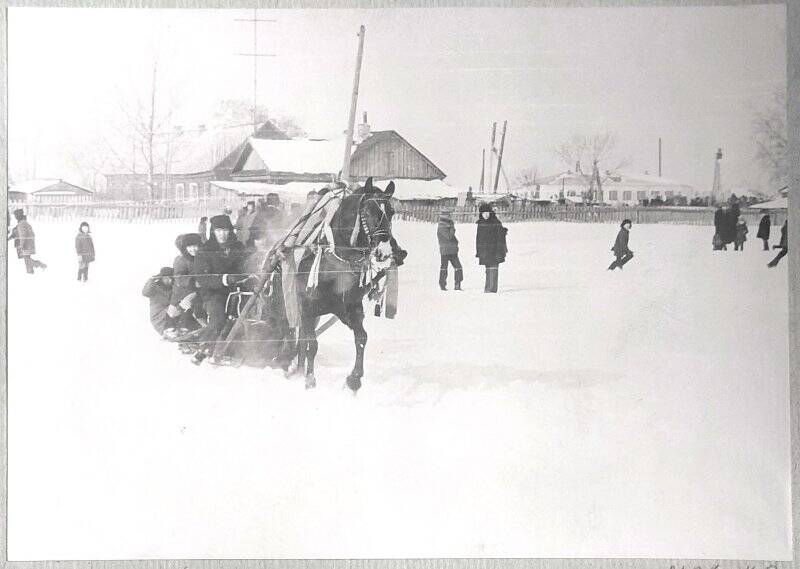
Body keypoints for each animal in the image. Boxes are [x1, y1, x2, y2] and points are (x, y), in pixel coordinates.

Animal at [290, 178, 398, 390]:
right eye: (368, 212)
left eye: (391, 212)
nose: (384, 251)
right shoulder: (307, 307)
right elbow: (311, 343)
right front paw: (310, 381)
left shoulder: (349, 309)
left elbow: (362, 338)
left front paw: (354, 379)